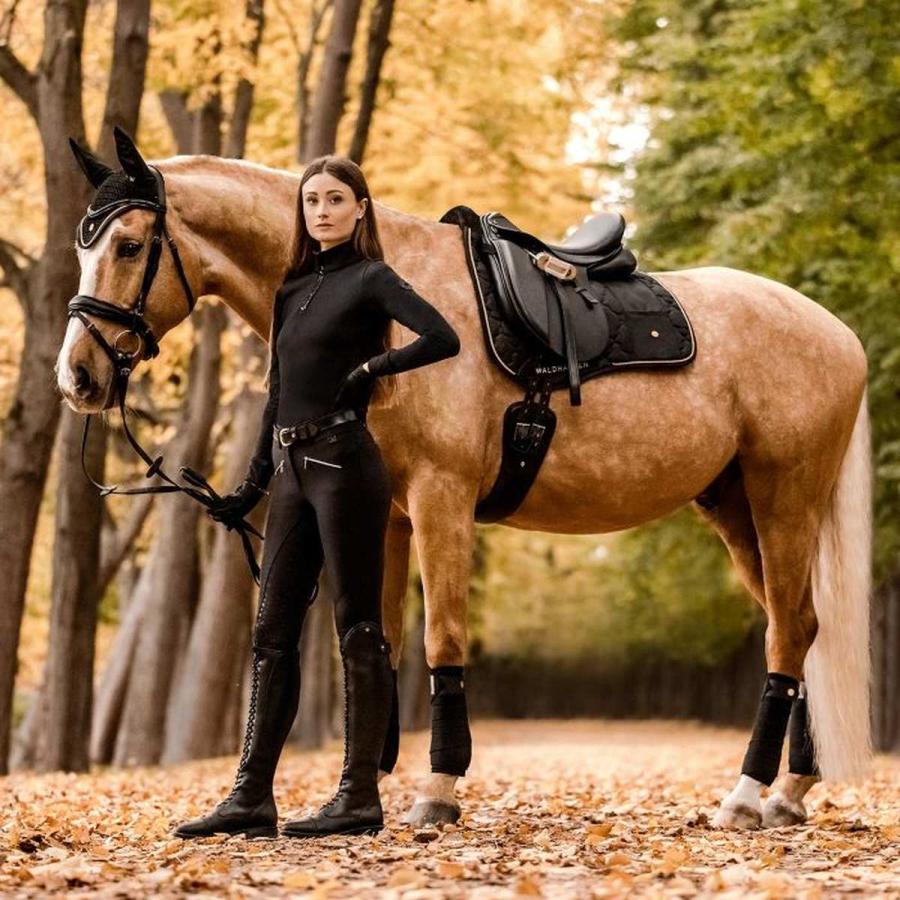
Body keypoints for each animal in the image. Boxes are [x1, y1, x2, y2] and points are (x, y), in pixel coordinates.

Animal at [56, 130, 871, 831]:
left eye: (129, 245)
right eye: (82, 246)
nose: (78, 377)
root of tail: (838, 334)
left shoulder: (439, 500)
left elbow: (441, 637)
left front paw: (436, 790)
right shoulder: (383, 514)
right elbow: (377, 641)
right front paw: (364, 790)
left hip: (783, 501)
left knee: (788, 633)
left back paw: (745, 795)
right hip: (735, 509)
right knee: (800, 630)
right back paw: (788, 792)